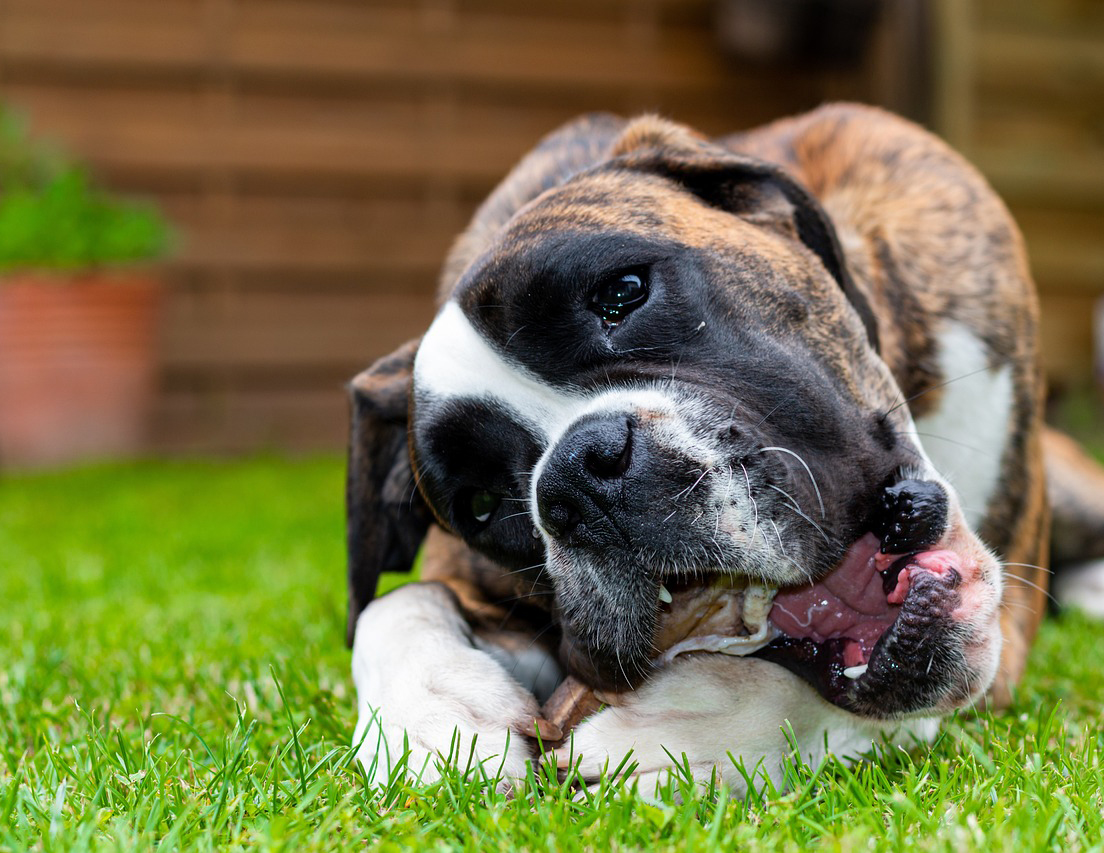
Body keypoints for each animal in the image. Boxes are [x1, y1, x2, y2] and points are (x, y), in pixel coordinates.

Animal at [340, 103, 1104, 790]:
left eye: (624, 291)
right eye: (482, 503)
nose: (576, 476)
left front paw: (682, 729)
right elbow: (389, 605)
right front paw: (432, 720)